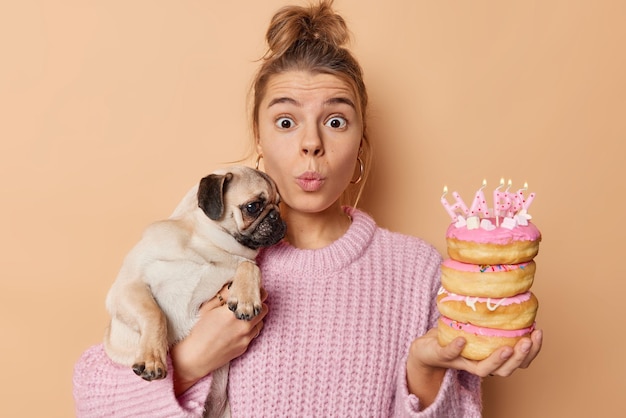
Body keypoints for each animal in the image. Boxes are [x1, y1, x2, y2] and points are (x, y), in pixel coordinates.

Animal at [103, 165, 286, 416]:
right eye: (253, 207)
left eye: (279, 204)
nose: (278, 216)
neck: (208, 245)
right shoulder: (129, 286)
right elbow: (154, 314)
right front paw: (153, 358)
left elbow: (250, 266)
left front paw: (246, 297)